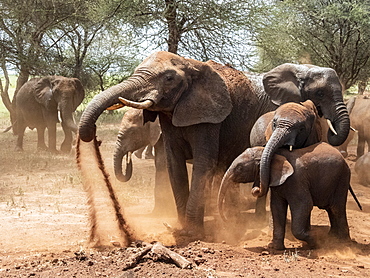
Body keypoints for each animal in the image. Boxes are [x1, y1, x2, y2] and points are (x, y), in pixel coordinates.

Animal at [78, 51, 350, 236]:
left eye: (168, 78)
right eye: (322, 93)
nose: (92, 134)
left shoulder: (212, 116)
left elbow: (203, 163)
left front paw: (192, 232)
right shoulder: (173, 115)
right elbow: (174, 164)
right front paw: (180, 226)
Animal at [218, 142, 360, 249]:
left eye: (239, 168)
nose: (227, 220)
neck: (271, 156)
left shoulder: (296, 180)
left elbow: (304, 205)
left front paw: (315, 242)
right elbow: (277, 208)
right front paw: (274, 247)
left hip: (342, 178)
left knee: (337, 208)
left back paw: (342, 243)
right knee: (331, 209)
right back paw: (333, 238)